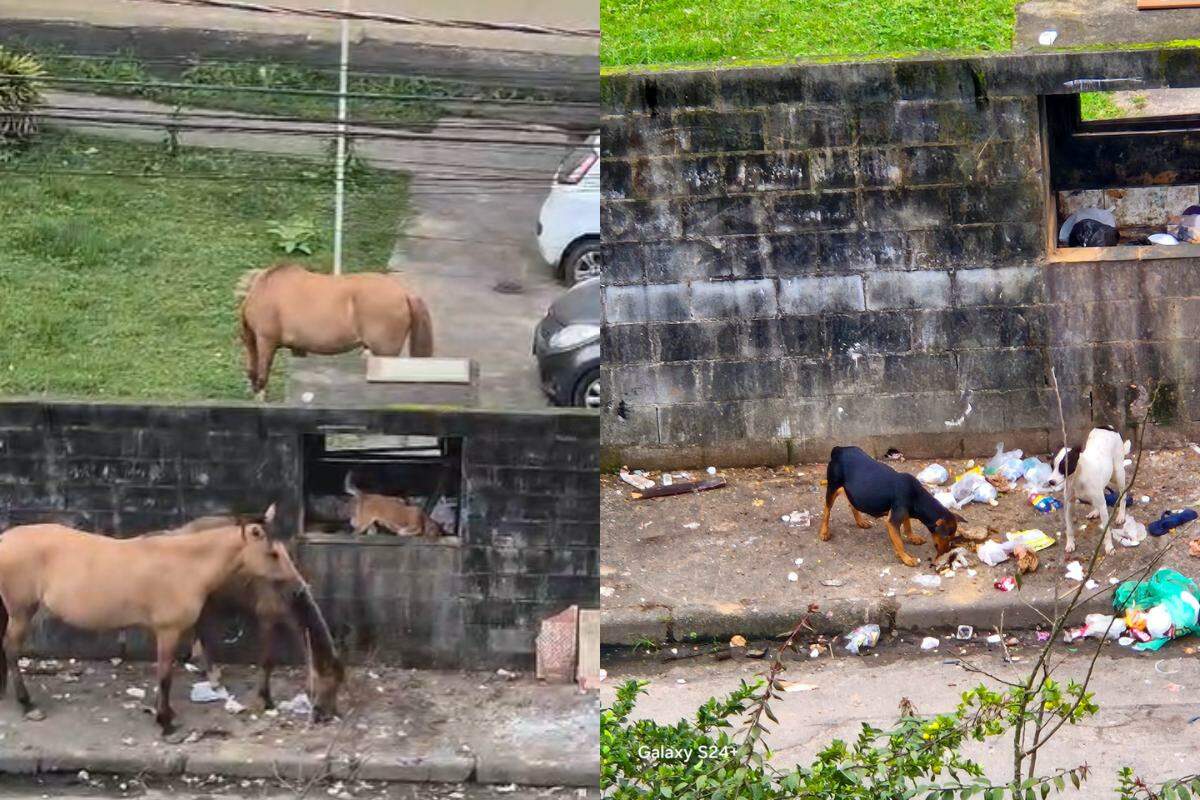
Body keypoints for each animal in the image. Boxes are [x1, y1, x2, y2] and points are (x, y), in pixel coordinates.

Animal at [0, 510, 304, 734]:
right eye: (273, 553)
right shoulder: (168, 631)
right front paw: (166, 723)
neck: (186, 565)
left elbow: (164, 675)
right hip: (21, 611)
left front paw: (163, 713)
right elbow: (165, 676)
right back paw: (27, 705)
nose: (299, 590)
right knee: (11, 650)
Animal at [236, 262, 434, 400]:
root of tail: (404, 294)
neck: (263, 291)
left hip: (385, 351)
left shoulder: (266, 341)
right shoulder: (298, 348)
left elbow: (263, 375)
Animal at [816, 443, 964, 568]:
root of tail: (839, 449)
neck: (917, 498)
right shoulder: (893, 521)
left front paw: (912, 537)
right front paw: (906, 558)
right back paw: (824, 531)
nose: (946, 552)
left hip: (853, 490)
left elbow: (908, 526)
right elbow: (899, 543)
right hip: (833, 486)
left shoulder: (905, 512)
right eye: (946, 537)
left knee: (852, 503)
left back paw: (860, 521)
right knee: (827, 509)